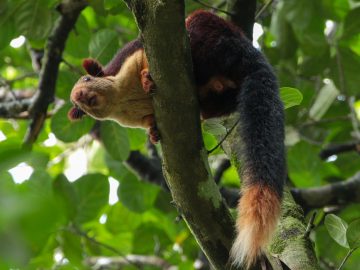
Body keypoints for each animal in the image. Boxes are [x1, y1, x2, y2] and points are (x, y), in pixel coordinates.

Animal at [69, 10, 286, 268]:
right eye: (76, 104)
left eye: (86, 80)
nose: (79, 95)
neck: (120, 99)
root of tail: (250, 57)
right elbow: (149, 121)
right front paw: (153, 132)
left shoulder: (128, 56)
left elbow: (141, 52)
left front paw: (145, 76)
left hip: (209, 36)